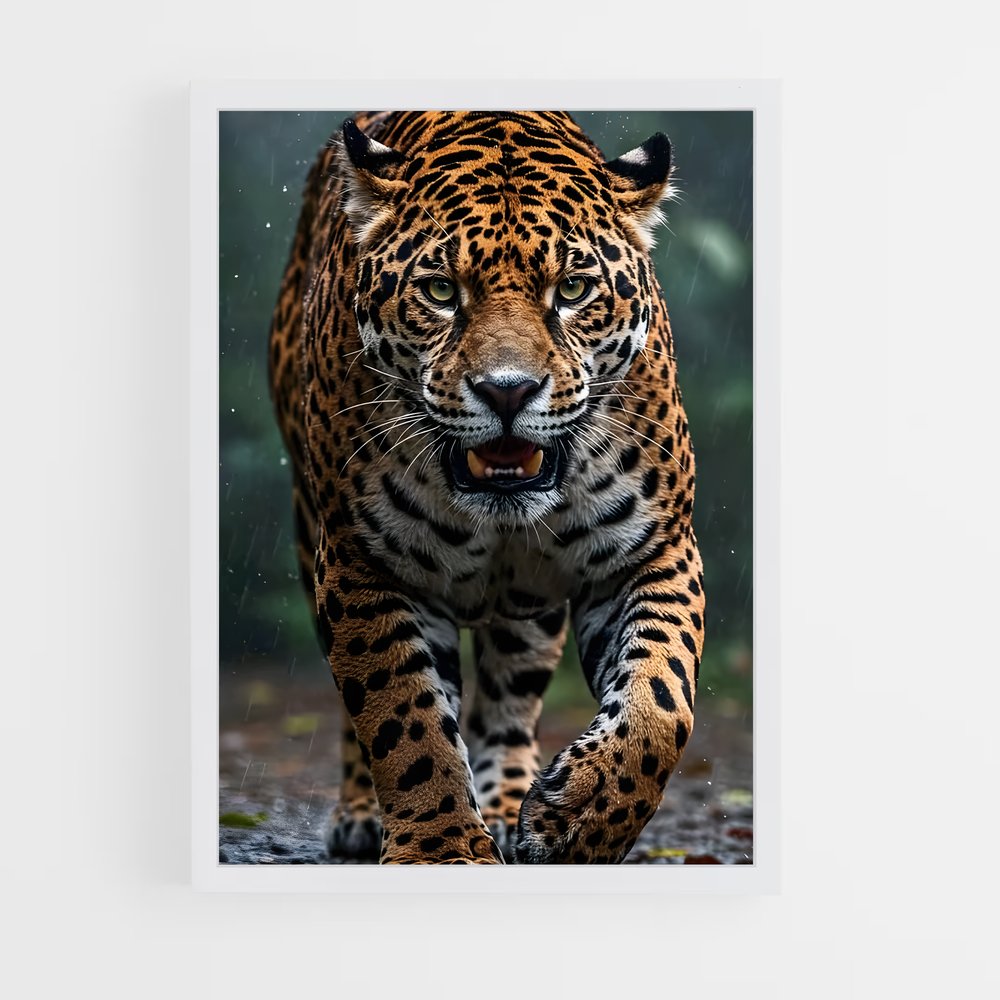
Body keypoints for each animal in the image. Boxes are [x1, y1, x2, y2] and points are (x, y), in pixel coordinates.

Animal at [268, 110, 705, 864]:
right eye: (442, 292)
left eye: (573, 291)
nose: (508, 391)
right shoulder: (360, 563)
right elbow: (403, 717)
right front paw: (439, 849)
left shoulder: (655, 551)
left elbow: (662, 702)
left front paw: (579, 820)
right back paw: (363, 816)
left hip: (530, 606)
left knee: (511, 693)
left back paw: (508, 804)